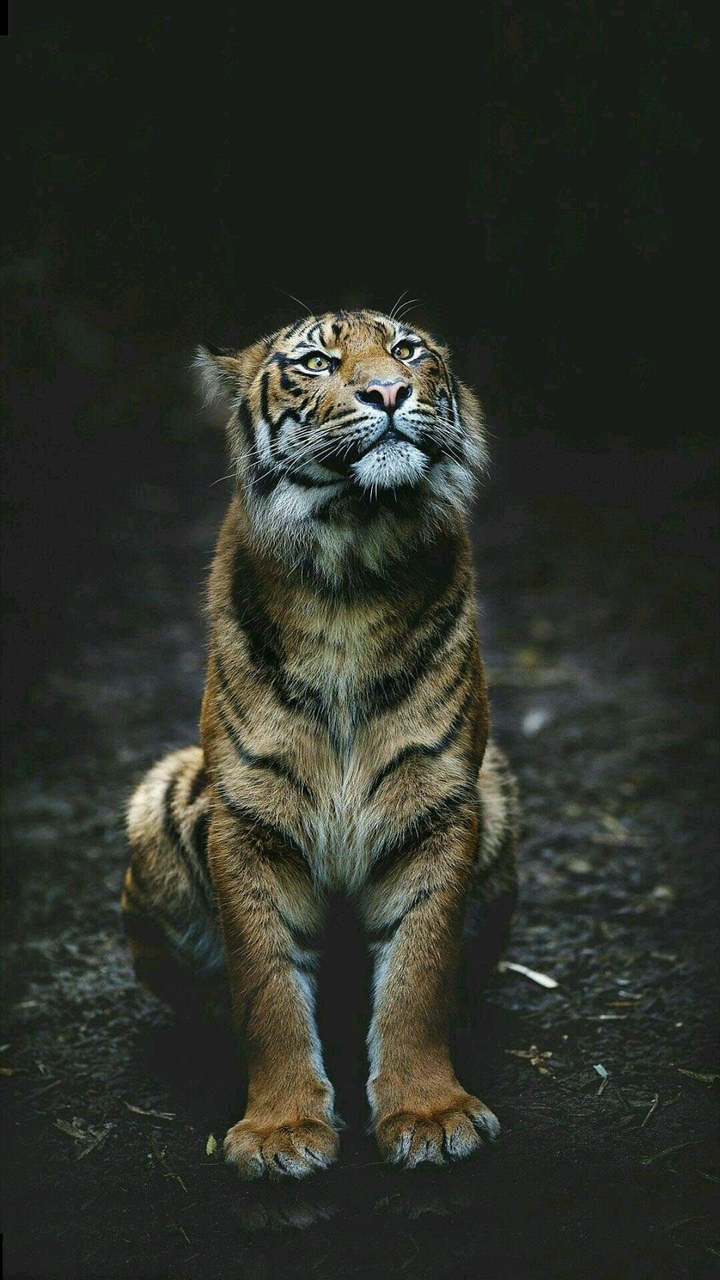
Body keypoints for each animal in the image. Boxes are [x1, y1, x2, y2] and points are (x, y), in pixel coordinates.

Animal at [122, 308, 519, 1180]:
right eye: (315, 362)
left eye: (407, 350)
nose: (391, 391)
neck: (352, 569)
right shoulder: (249, 817)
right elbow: (267, 986)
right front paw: (279, 1131)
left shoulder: (440, 804)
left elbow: (416, 975)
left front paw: (428, 1115)